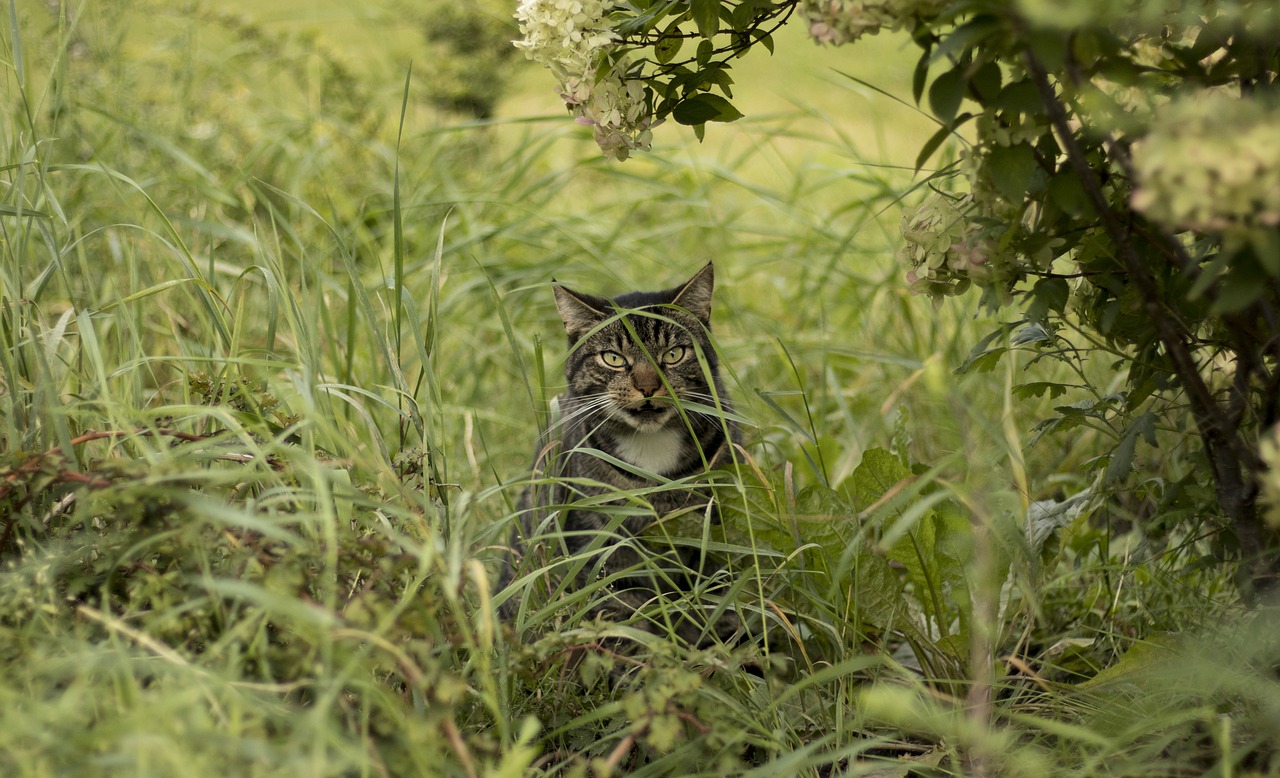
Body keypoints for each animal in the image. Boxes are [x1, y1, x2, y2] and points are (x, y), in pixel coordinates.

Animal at [499, 264, 742, 642]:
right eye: (613, 358)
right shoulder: (603, 550)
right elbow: (625, 622)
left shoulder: (717, 529)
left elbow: (718, 605)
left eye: (674, 354)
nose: (648, 387)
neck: (652, 450)